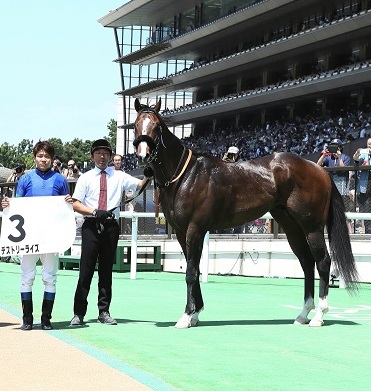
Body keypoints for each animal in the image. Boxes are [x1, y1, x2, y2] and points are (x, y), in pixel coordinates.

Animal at [132, 98, 358, 328]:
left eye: (156, 127)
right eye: (136, 125)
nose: (142, 155)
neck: (186, 175)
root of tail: (319, 169)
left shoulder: (194, 229)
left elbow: (190, 272)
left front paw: (186, 316)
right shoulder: (180, 232)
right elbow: (193, 269)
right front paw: (196, 313)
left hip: (312, 227)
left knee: (323, 262)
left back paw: (319, 315)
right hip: (291, 226)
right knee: (306, 262)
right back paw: (303, 313)